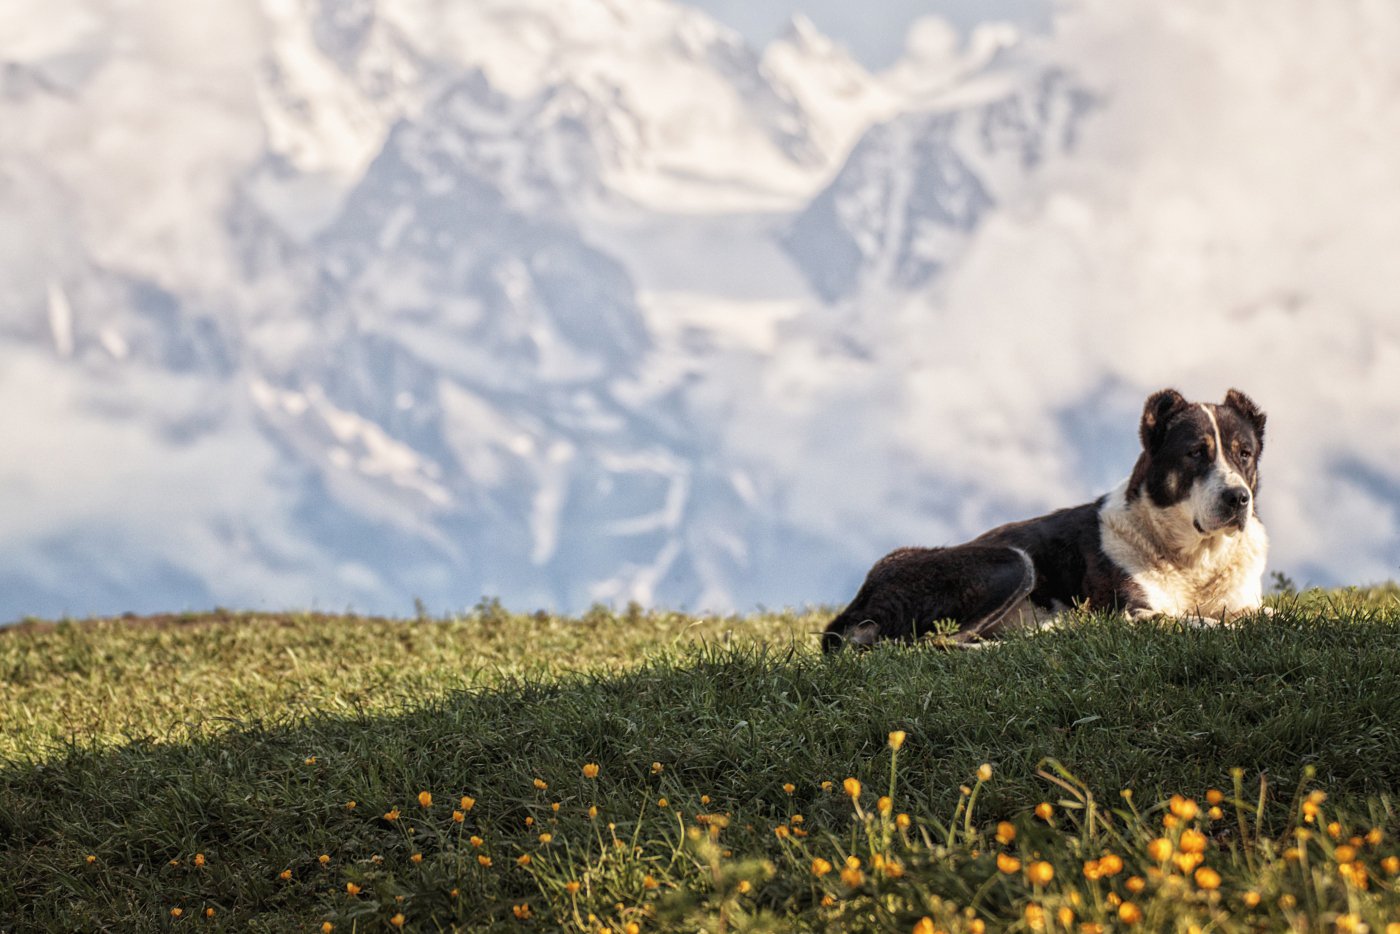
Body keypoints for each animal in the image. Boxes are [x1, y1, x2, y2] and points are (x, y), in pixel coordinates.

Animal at [817, 386, 1271, 649]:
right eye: (1195, 452)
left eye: (1244, 453)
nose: (1238, 498)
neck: (1194, 560)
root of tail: (862, 595)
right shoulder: (1132, 613)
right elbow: (1202, 623)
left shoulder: (1241, 601)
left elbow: (1257, 614)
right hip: (1011, 562)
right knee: (937, 644)